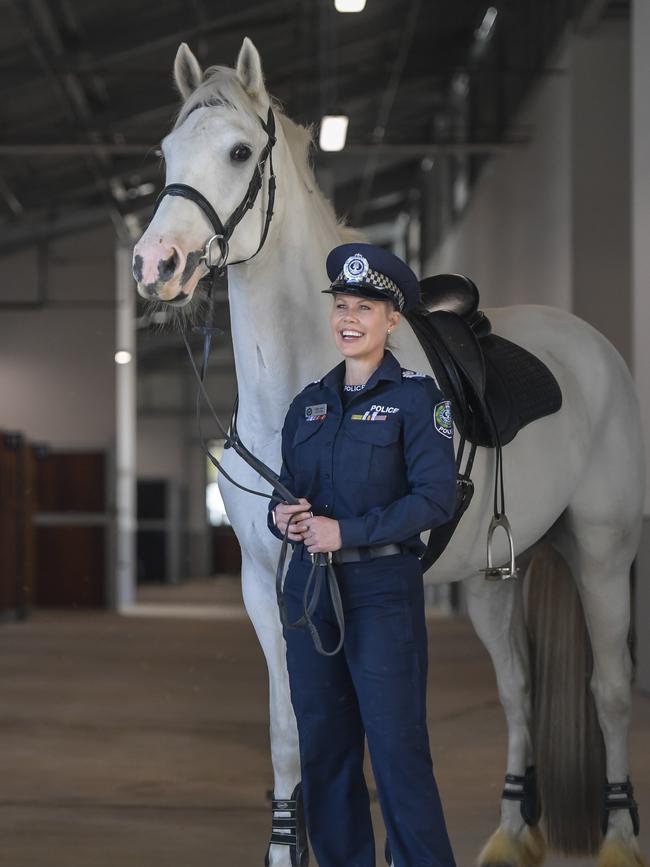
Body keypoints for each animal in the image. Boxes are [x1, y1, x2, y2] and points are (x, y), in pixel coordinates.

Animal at [132, 39, 644, 867]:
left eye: (239, 152)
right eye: (166, 152)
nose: (156, 265)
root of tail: (595, 346)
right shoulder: (265, 588)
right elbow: (289, 734)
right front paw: (289, 844)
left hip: (602, 552)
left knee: (612, 689)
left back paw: (622, 837)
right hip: (496, 577)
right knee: (517, 688)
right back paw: (512, 830)